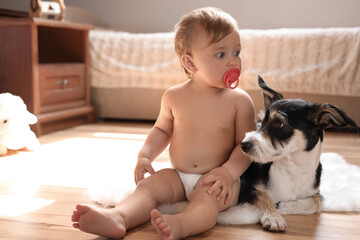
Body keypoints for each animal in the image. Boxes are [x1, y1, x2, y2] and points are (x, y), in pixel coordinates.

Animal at [218, 76, 358, 232]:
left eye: (279, 124)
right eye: (260, 121)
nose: (243, 145)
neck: (293, 167)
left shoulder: (316, 192)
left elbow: (316, 203)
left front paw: (283, 206)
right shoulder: (244, 185)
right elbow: (262, 195)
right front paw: (273, 216)